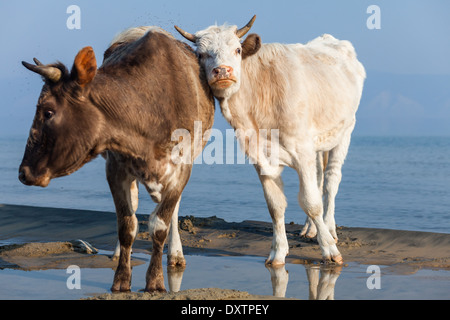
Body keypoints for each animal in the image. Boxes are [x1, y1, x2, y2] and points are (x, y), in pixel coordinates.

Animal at [21, 27, 216, 292]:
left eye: (48, 112)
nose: (23, 172)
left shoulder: (182, 169)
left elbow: (160, 224)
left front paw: (155, 281)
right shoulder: (115, 168)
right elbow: (126, 225)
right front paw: (121, 279)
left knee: (172, 211)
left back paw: (175, 255)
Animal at [176, 15, 366, 264]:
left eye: (237, 49)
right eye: (201, 54)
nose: (222, 71)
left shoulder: (301, 149)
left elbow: (312, 202)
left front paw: (329, 250)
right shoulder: (260, 156)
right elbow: (276, 205)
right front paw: (278, 252)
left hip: (345, 130)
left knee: (331, 180)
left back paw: (330, 229)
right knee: (318, 178)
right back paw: (311, 229)